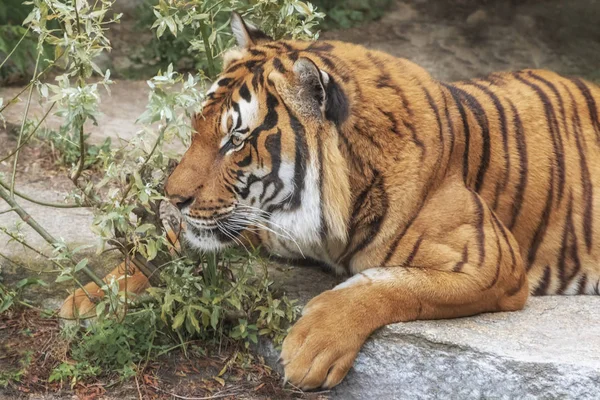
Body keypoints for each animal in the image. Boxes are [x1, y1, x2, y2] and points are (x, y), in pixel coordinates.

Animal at [62, 13, 600, 390]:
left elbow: (388, 284)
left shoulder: (488, 262)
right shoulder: (256, 218)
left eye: (235, 140)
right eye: (198, 128)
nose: (172, 196)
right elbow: (171, 249)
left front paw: (310, 348)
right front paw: (93, 295)